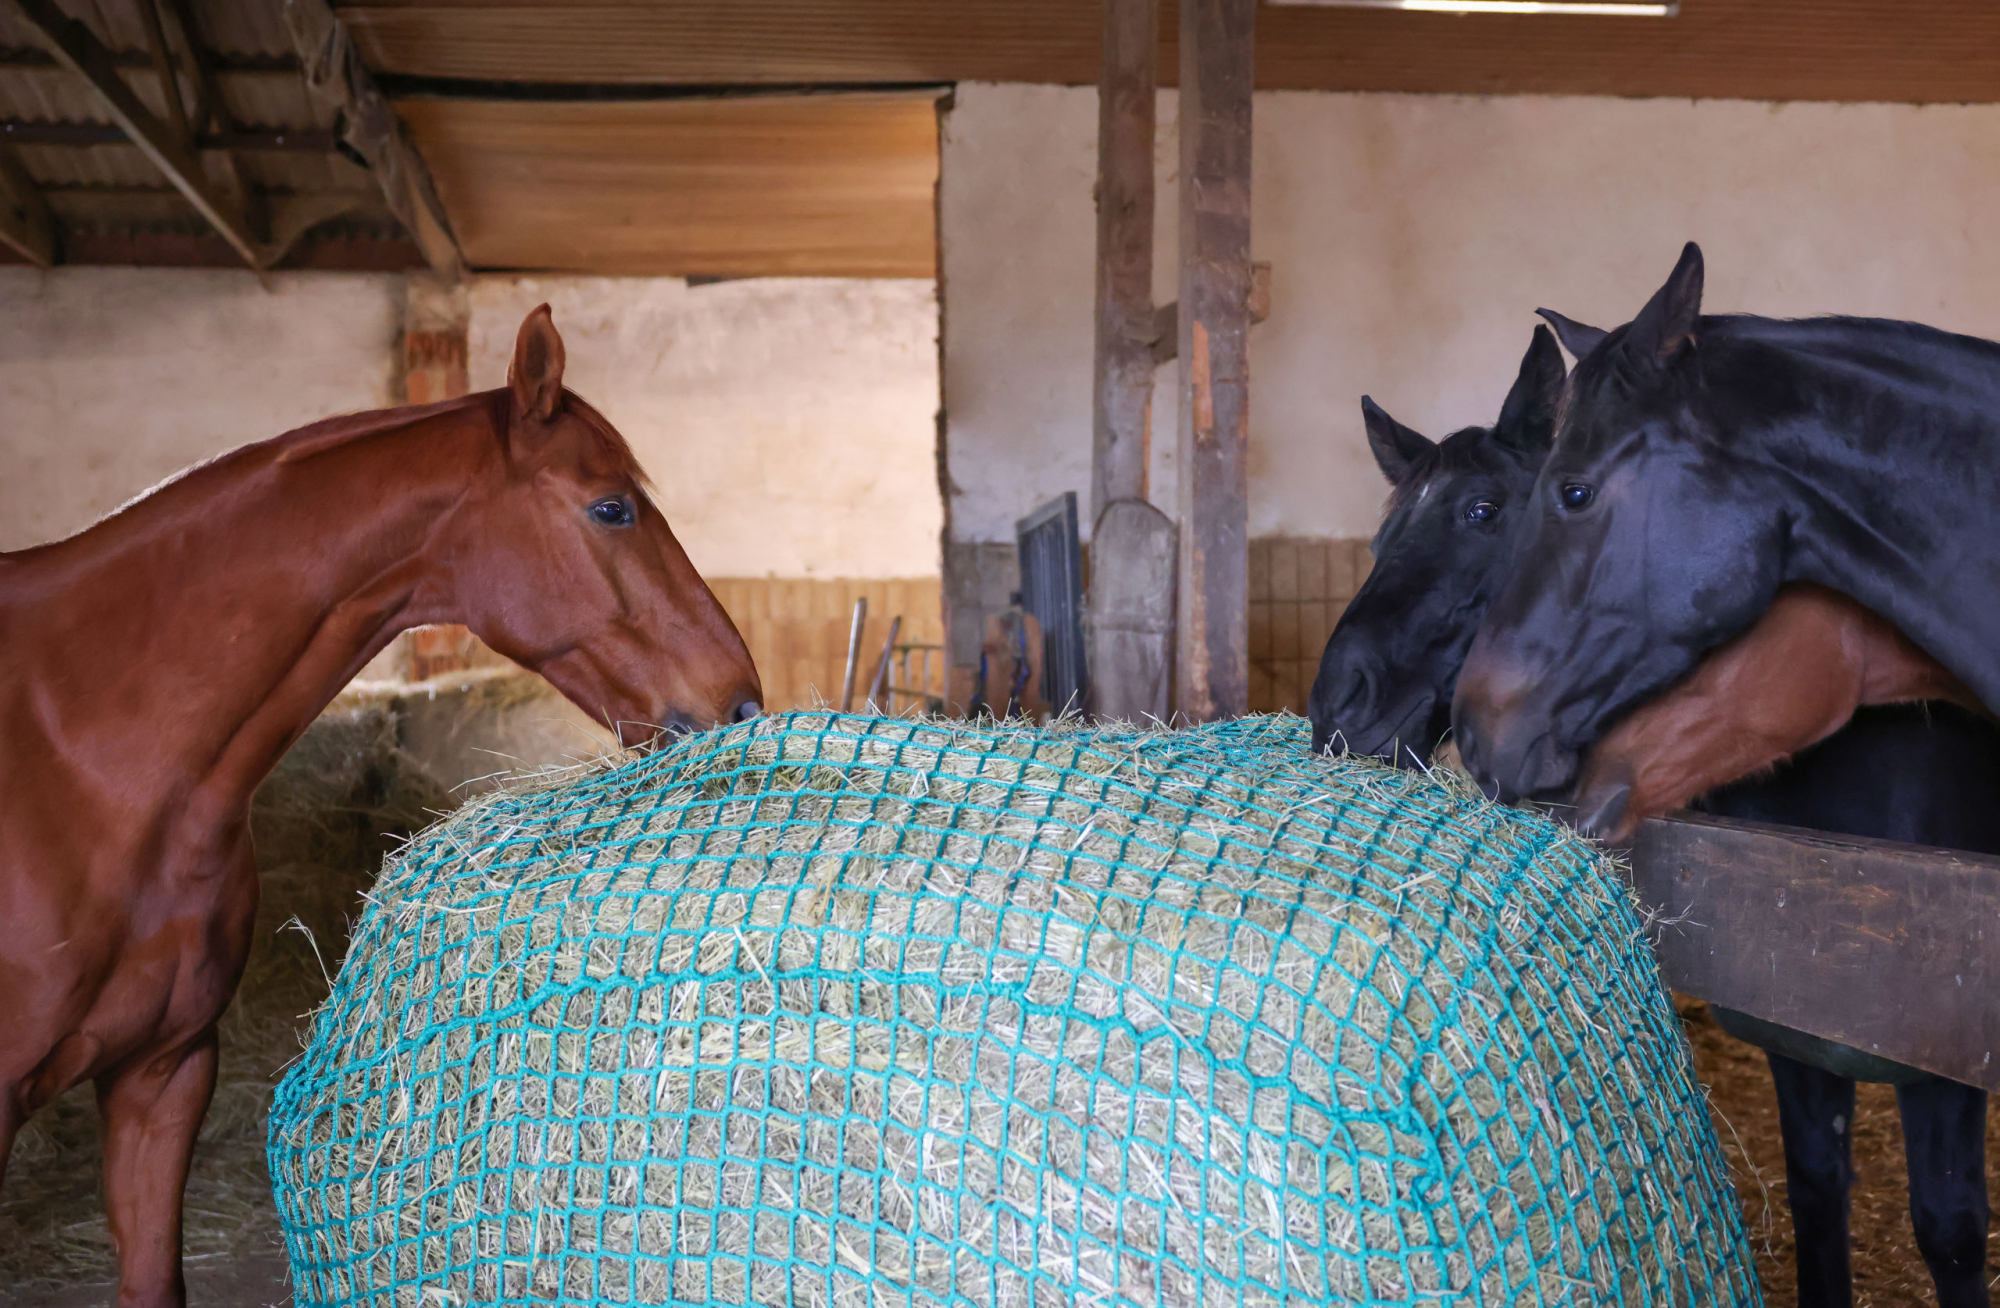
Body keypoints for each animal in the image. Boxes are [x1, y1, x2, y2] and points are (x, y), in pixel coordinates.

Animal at [1312, 326, 1984, 1308]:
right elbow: (1819, 1191)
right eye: (1377, 538)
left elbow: (1950, 1229)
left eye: (1482, 511)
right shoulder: (1803, 1044)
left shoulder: (1940, 1069)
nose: (1335, 708)